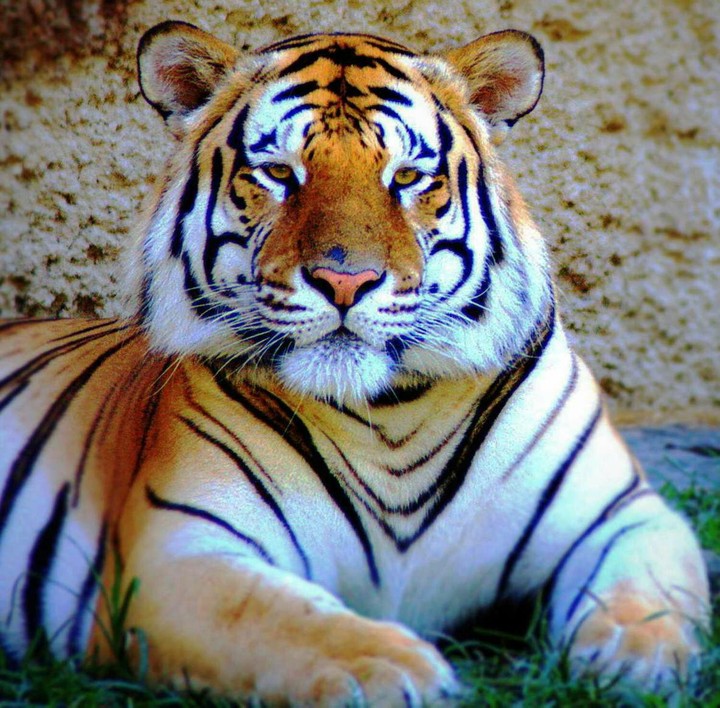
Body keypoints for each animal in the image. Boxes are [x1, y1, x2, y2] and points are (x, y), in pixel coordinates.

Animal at [0, 20, 710, 705]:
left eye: (407, 178)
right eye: (279, 173)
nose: (345, 281)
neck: (392, 412)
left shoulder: (625, 513)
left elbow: (648, 593)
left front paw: (639, 660)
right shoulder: (179, 549)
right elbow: (280, 620)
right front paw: (395, 667)